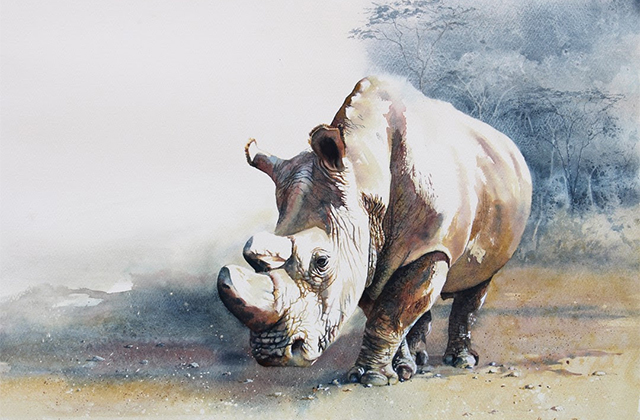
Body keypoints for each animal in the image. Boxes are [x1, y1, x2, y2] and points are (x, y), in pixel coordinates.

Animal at [217, 76, 532, 386]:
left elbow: (391, 313)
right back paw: (419, 361)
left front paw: (371, 378)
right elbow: (383, 309)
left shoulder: (429, 247)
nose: (272, 354)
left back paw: (462, 361)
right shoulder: (364, 248)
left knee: (477, 283)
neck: (364, 175)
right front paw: (399, 370)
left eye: (322, 261)